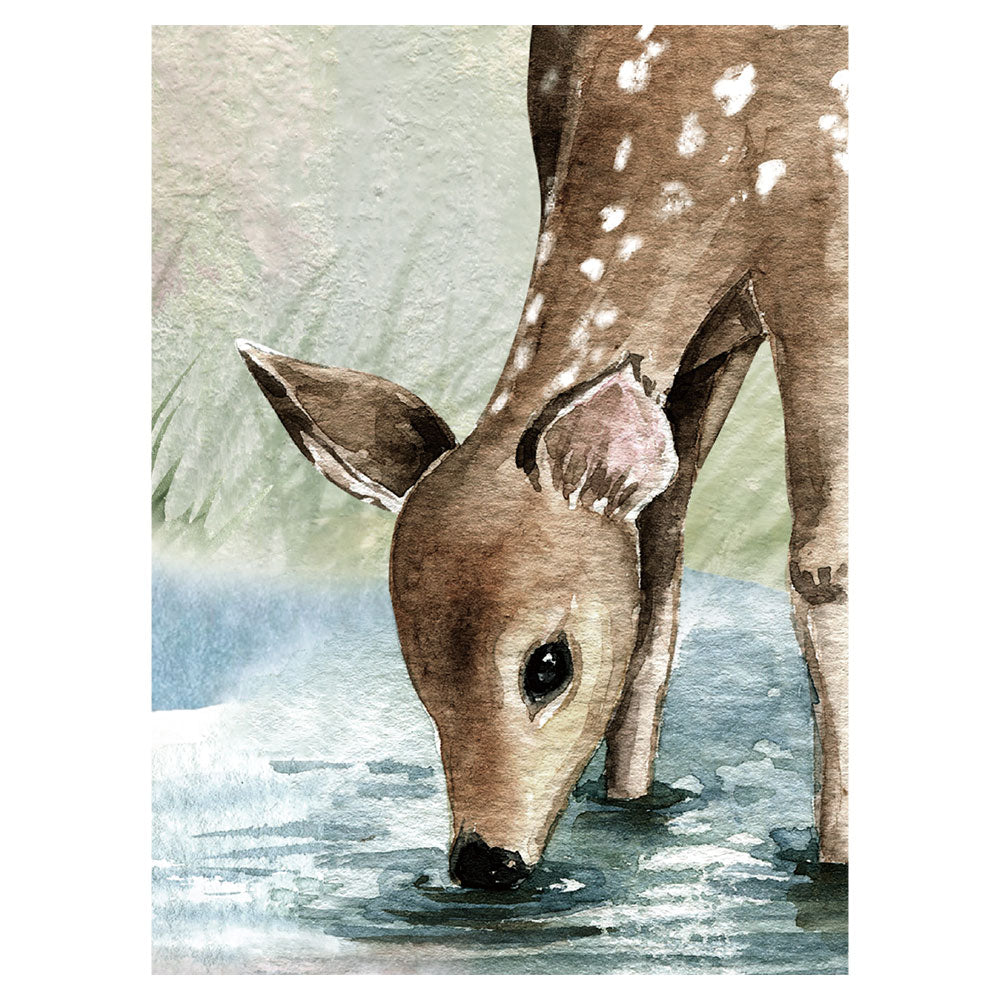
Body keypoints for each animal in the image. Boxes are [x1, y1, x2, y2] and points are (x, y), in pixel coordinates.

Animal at [237, 25, 848, 888]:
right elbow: (657, 563)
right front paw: (629, 806)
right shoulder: (715, 328)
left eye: (547, 666)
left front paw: (835, 866)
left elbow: (823, 568)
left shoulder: (824, 257)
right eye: (417, 673)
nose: (484, 862)